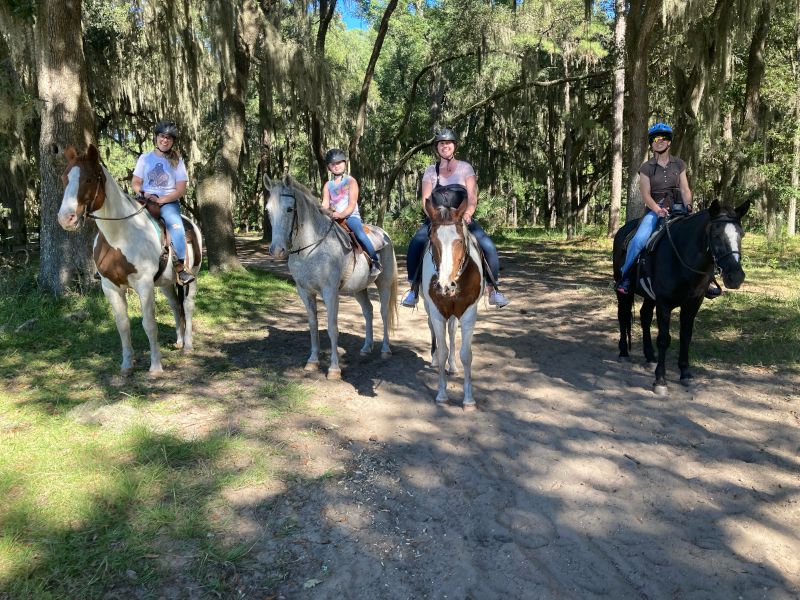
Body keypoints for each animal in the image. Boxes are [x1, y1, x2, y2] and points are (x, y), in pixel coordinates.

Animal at [56, 145, 200, 376]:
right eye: (64, 178)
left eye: (88, 179)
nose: (65, 218)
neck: (119, 236)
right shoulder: (110, 287)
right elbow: (122, 325)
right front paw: (126, 365)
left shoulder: (144, 285)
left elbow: (149, 324)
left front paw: (156, 367)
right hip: (166, 283)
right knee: (175, 306)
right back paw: (178, 341)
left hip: (192, 277)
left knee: (187, 306)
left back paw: (187, 345)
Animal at [264, 173, 398, 380]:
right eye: (268, 210)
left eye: (289, 209)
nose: (277, 251)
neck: (310, 248)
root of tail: (384, 234)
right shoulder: (304, 291)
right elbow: (313, 325)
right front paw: (312, 361)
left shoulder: (330, 291)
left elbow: (332, 327)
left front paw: (334, 369)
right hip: (359, 288)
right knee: (368, 311)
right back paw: (366, 348)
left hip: (383, 283)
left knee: (383, 312)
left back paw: (385, 350)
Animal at [422, 197, 484, 408]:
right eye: (433, 241)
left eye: (459, 241)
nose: (444, 286)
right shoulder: (437, 311)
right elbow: (442, 351)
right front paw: (442, 395)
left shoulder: (469, 312)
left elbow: (467, 354)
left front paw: (469, 399)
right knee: (432, 328)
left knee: (452, 331)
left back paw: (453, 365)